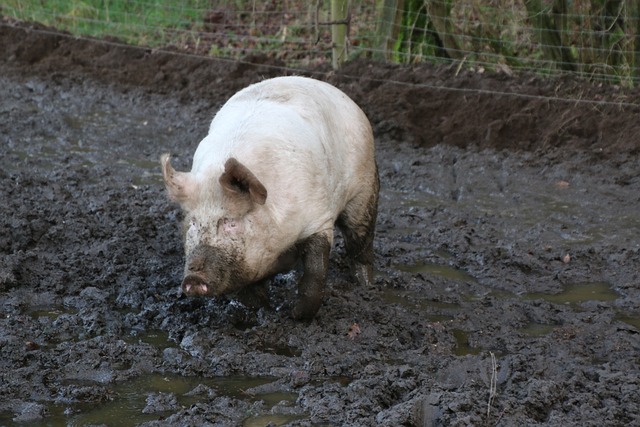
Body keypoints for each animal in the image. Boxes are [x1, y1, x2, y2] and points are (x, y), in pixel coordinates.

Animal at [161, 75, 380, 320]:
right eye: (193, 223)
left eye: (230, 222)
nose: (193, 278)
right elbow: (248, 291)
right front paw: (261, 311)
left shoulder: (318, 218)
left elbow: (316, 270)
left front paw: (296, 315)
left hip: (365, 186)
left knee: (360, 239)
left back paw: (365, 286)